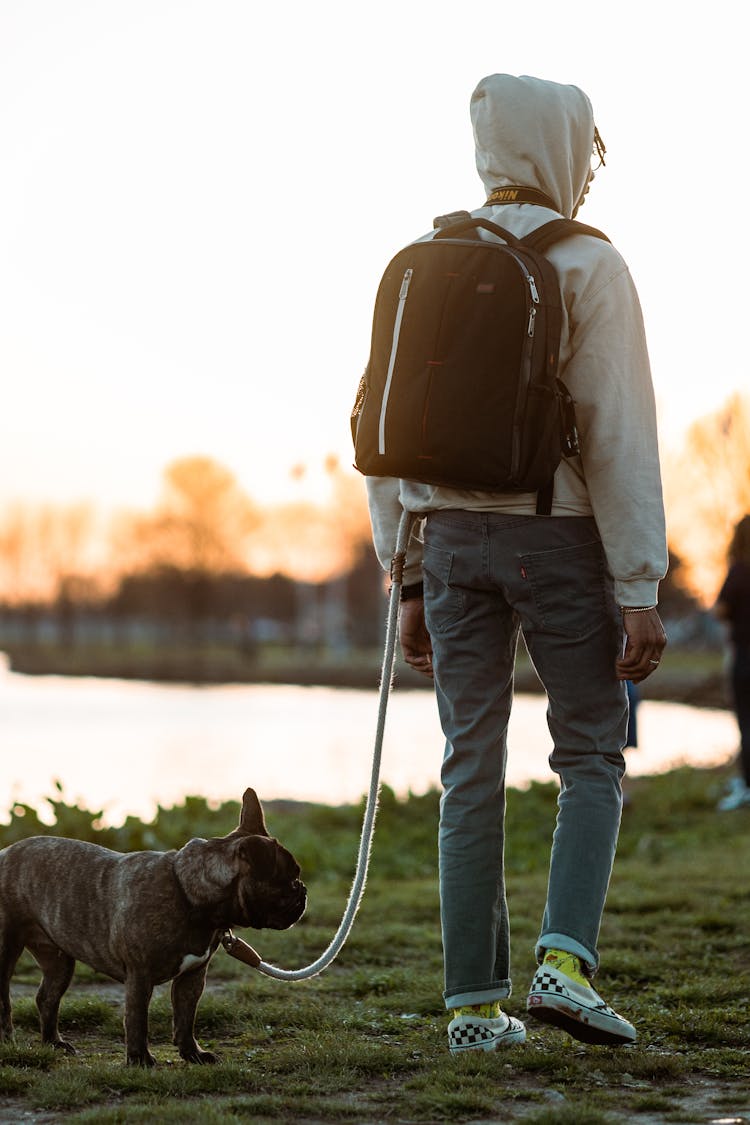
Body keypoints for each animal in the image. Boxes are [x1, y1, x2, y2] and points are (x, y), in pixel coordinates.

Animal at [0, 792, 308, 1062]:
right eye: (289, 880)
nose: (303, 891)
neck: (189, 895)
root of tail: (5, 852)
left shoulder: (192, 977)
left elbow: (185, 1017)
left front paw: (192, 1053)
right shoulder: (140, 976)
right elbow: (138, 1021)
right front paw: (140, 1060)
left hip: (59, 961)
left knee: (47, 997)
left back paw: (54, 1043)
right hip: (6, 949)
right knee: (6, 999)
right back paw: (7, 1040)